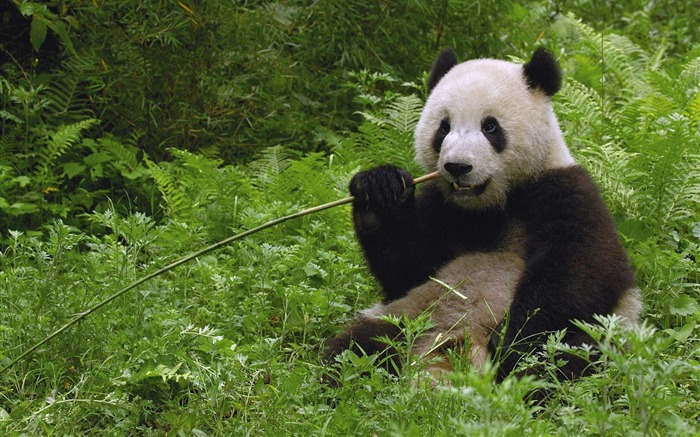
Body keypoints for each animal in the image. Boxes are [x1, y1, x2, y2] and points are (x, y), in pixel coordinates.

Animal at [326, 46, 644, 382]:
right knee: (357, 347)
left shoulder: (566, 192)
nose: (457, 166)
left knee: (568, 355)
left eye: (490, 127)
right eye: (443, 127)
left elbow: (580, 271)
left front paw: (511, 342)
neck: (491, 205)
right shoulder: (442, 208)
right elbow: (407, 268)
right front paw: (379, 190)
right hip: (408, 316)